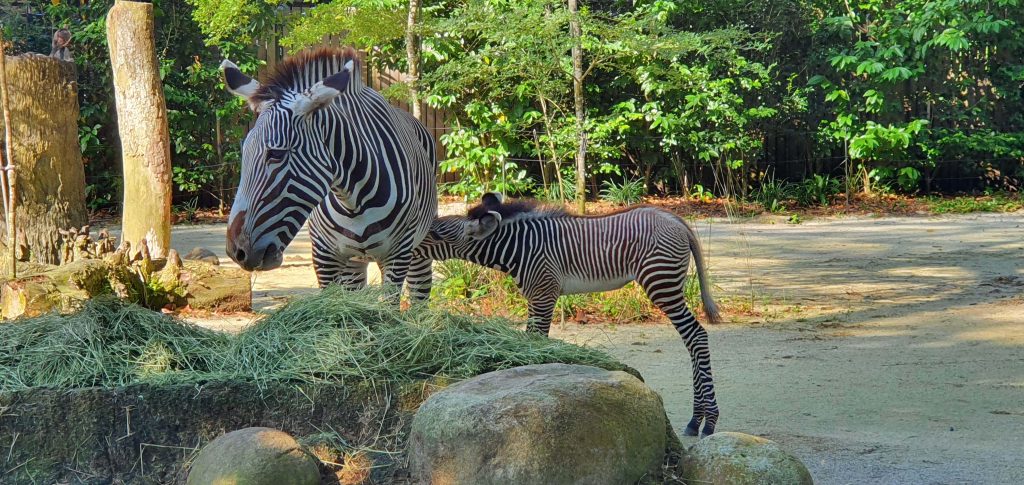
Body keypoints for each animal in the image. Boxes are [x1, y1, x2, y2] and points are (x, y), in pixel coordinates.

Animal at [221, 48, 436, 294]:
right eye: (244, 151)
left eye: (276, 154)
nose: (235, 252)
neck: (353, 203)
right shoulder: (324, 257)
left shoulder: (397, 255)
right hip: (354, 263)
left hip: (418, 246)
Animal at [411, 192, 724, 435]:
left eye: (436, 233)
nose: (410, 247)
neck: (519, 249)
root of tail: (676, 219)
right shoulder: (536, 298)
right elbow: (532, 340)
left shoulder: (543, 294)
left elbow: (536, 340)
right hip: (666, 284)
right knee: (692, 339)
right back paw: (697, 420)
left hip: (661, 283)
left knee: (696, 336)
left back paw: (706, 422)